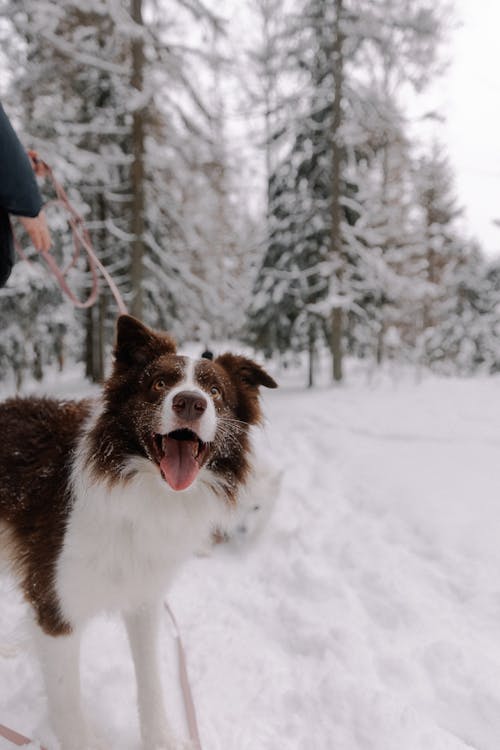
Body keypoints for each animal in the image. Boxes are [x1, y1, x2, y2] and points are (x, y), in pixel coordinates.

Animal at [0, 316, 278, 750]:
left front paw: (160, 738)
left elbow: (151, 682)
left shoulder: (145, 596)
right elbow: (69, 708)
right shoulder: (56, 607)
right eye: (160, 384)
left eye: (215, 391)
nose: (190, 403)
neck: (143, 492)